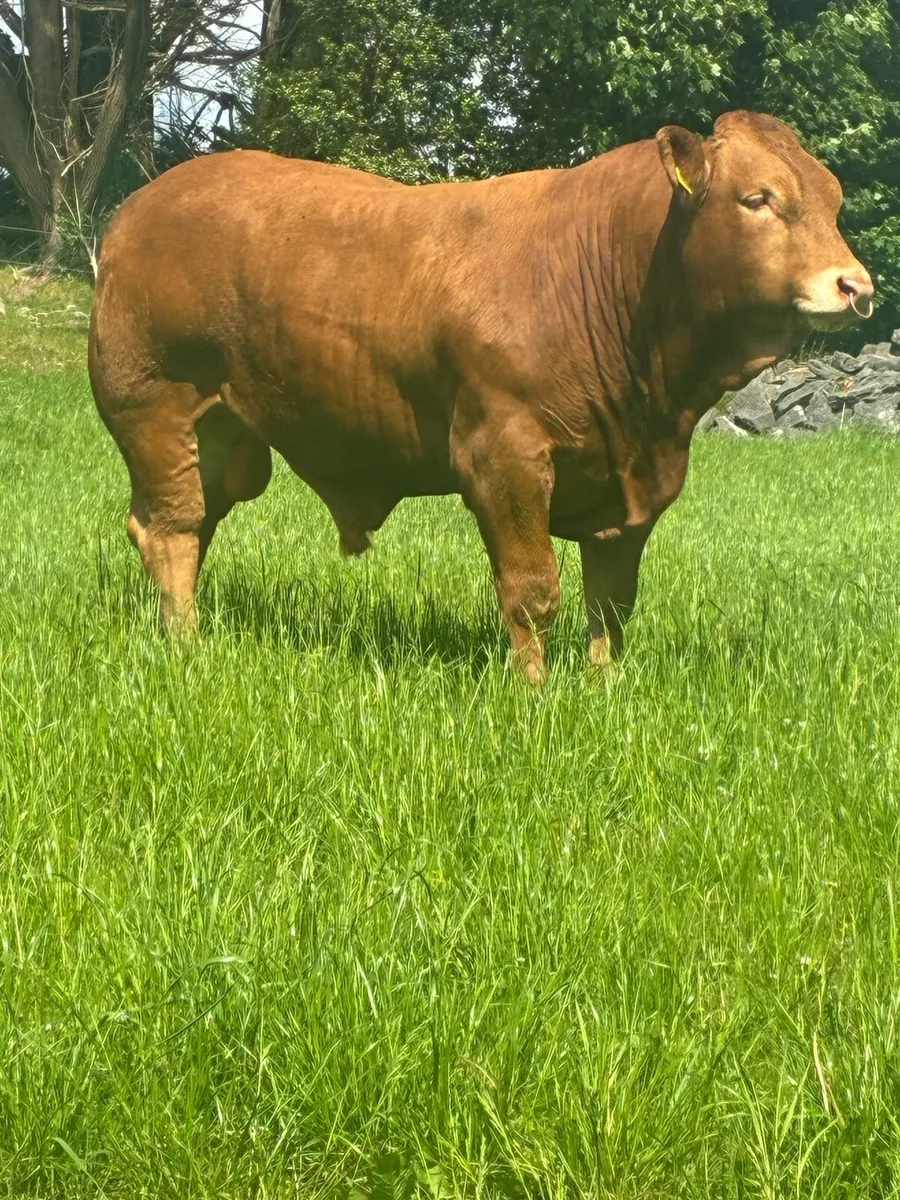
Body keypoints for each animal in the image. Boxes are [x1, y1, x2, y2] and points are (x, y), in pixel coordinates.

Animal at [88, 110, 873, 682]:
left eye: (834, 200)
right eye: (758, 199)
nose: (855, 286)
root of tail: (139, 205)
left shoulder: (637, 484)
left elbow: (611, 602)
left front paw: (604, 689)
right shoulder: (505, 456)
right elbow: (533, 591)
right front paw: (535, 693)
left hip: (226, 438)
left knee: (185, 525)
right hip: (155, 407)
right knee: (171, 528)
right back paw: (187, 649)